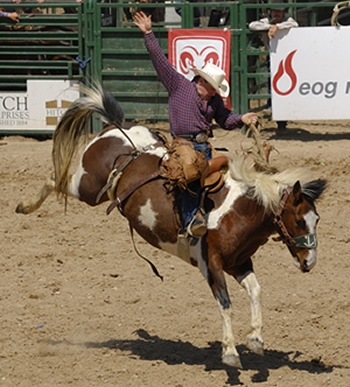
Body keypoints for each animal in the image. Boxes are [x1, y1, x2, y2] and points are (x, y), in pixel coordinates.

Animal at [17, 85, 328, 370]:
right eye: (299, 220)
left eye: (317, 219)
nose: (310, 262)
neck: (237, 211)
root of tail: (115, 127)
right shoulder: (211, 263)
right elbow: (225, 304)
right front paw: (230, 352)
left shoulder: (239, 263)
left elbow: (256, 292)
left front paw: (255, 339)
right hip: (87, 187)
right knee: (55, 178)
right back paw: (25, 206)